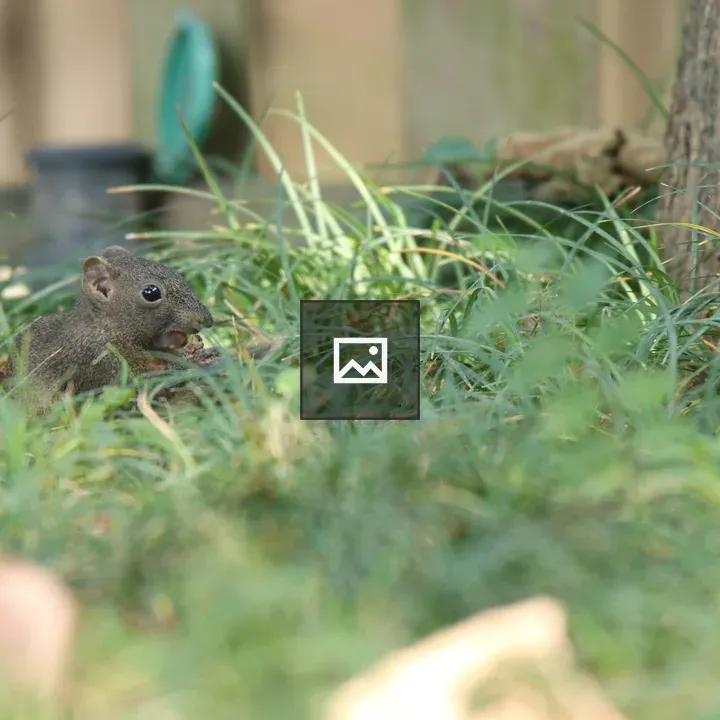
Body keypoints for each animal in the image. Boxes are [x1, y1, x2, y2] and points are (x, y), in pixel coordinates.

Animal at [5, 245, 214, 411]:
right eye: (151, 293)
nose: (206, 320)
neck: (107, 329)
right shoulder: (98, 361)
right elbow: (138, 382)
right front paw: (192, 362)